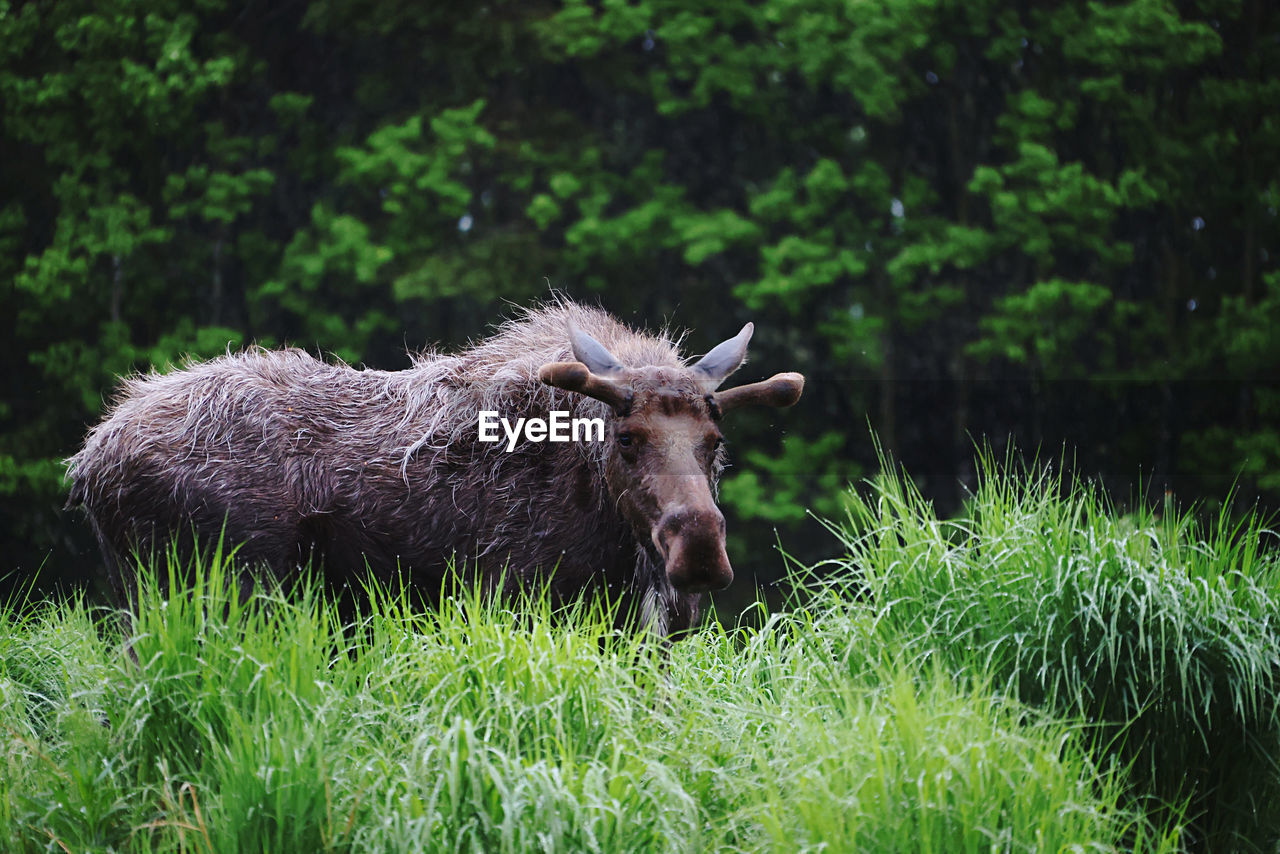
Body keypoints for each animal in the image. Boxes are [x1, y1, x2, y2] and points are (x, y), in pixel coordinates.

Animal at [67, 300, 798, 635]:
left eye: (714, 439)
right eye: (626, 438)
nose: (697, 548)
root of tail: (89, 460)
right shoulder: (520, 601)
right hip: (218, 592)